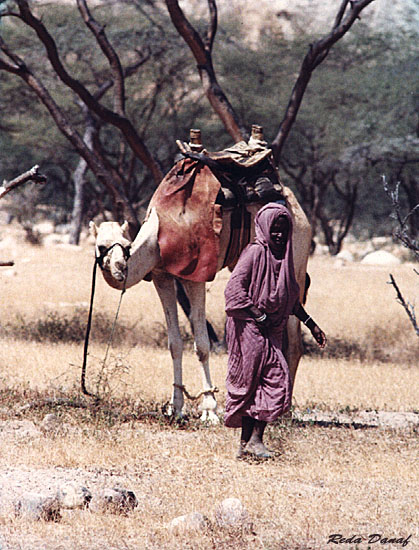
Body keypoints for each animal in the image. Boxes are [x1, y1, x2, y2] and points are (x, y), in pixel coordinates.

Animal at [89, 177, 312, 422]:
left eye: (127, 246)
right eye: (100, 246)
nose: (119, 268)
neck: (159, 234)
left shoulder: (195, 277)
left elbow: (202, 345)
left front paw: (209, 410)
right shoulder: (161, 276)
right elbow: (175, 344)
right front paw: (176, 408)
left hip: (295, 259)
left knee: (294, 342)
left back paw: (283, 412)